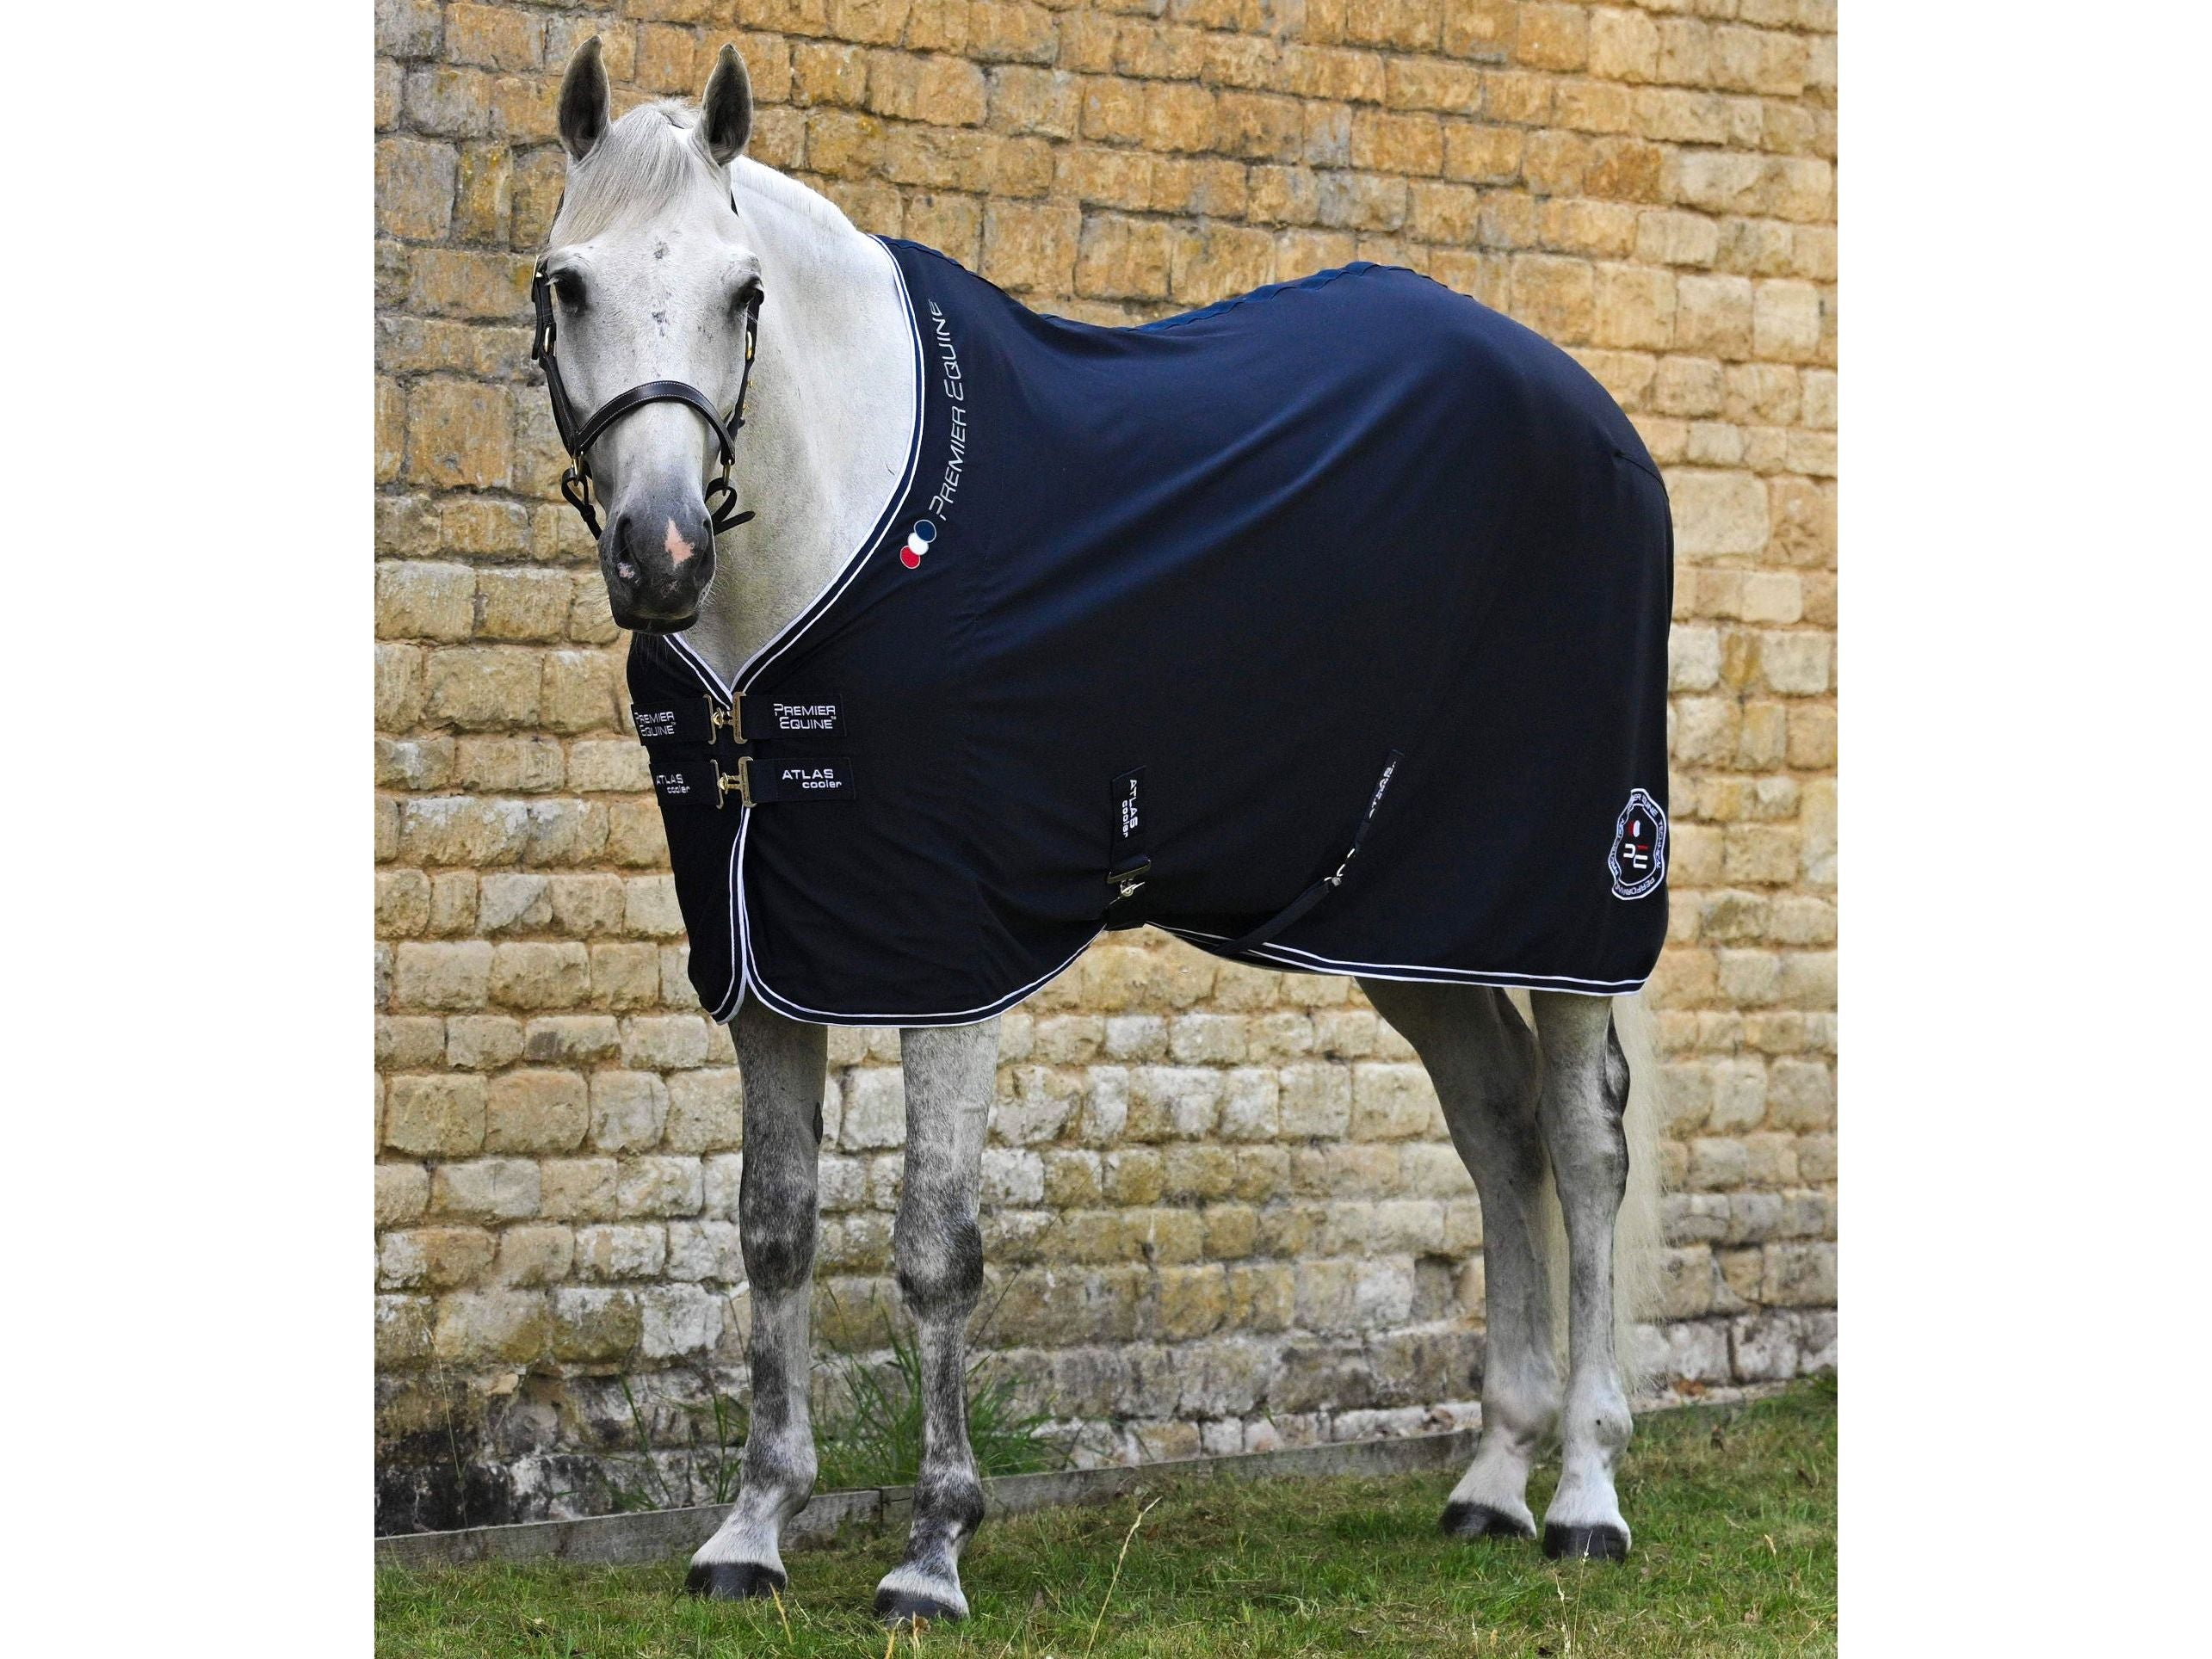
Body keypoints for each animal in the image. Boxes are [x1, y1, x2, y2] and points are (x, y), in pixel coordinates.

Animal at [531, 36, 1668, 1625]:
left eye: (743, 292)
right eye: (564, 283)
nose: (662, 553)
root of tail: (1593, 413)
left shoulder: (946, 954)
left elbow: (933, 1249)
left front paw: (932, 1551)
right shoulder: (766, 961)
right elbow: (774, 1230)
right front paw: (750, 1531)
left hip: (1567, 899)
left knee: (1580, 1142)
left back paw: (1582, 1494)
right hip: (1409, 920)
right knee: (1498, 1136)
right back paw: (1491, 1479)